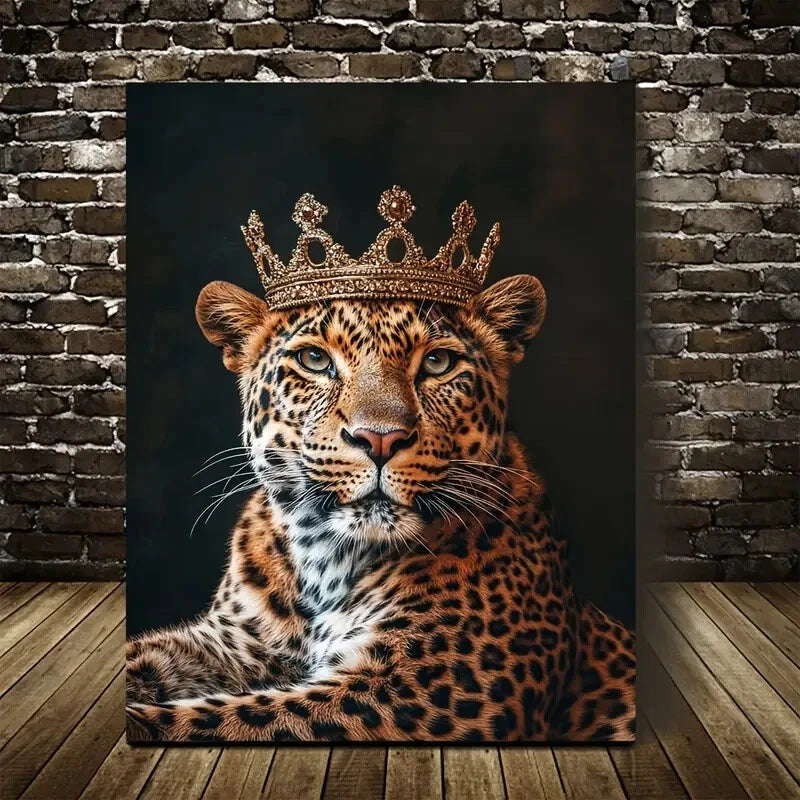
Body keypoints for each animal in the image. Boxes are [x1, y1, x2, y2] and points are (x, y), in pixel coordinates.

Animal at [126, 273, 635, 743]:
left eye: (437, 361)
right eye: (315, 360)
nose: (380, 439)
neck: (324, 559)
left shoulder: (419, 692)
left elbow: (227, 720)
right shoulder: (234, 644)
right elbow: (148, 660)